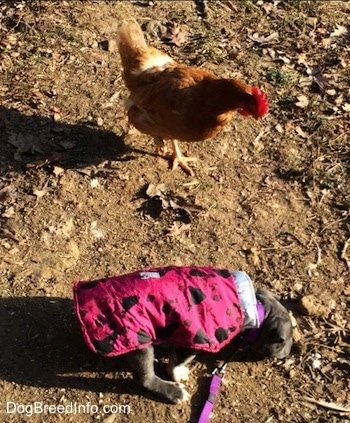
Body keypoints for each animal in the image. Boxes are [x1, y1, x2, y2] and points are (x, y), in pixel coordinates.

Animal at [74, 268, 292, 404]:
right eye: (285, 341)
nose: (291, 351)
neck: (257, 311)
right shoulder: (194, 339)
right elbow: (178, 361)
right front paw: (178, 373)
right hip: (140, 340)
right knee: (145, 378)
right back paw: (172, 391)